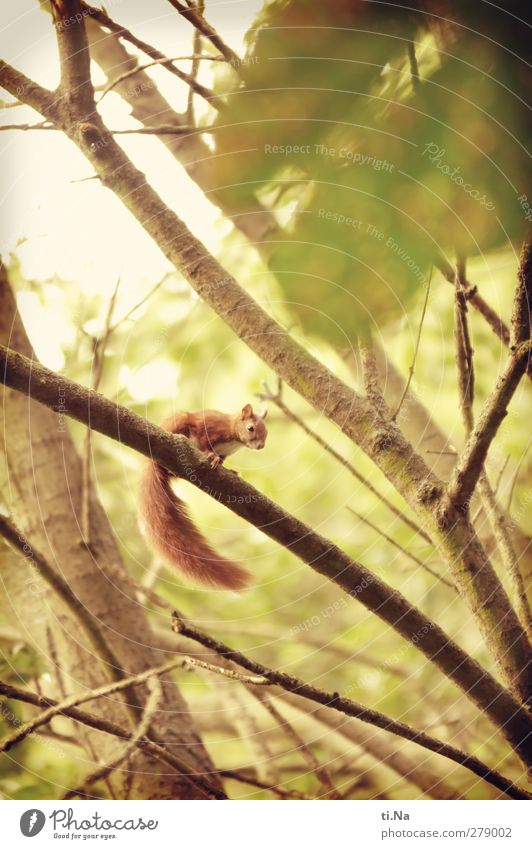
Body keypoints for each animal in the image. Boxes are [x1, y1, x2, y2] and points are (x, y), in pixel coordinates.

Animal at [139, 404, 268, 588]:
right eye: (251, 428)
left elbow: (222, 461)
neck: (234, 438)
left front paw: (230, 470)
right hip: (179, 423)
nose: (261, 446)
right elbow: (204, 440)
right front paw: (211, 456)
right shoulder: (209, 427)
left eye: (266, 431)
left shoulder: (225, 453)